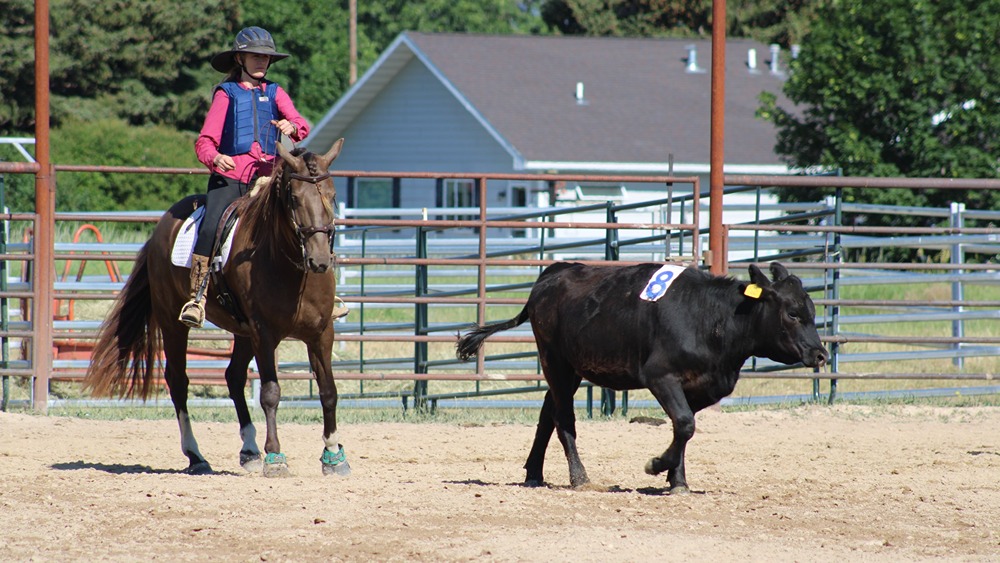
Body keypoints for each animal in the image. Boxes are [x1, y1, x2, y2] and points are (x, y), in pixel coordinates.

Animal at [456, 261, 828, 494]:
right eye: (793, 313)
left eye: (811, 312)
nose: (820, 354)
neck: (712, 318)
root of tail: (554, 271)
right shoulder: (660, 376)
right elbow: (685, 425)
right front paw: (657, 465)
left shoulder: (700, 387)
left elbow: (683, 428)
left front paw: (677, 480)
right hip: (555, 360)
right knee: (563, 419)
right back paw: (579, 477)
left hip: (570, 367)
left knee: (548, 412)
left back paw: (534, 473)